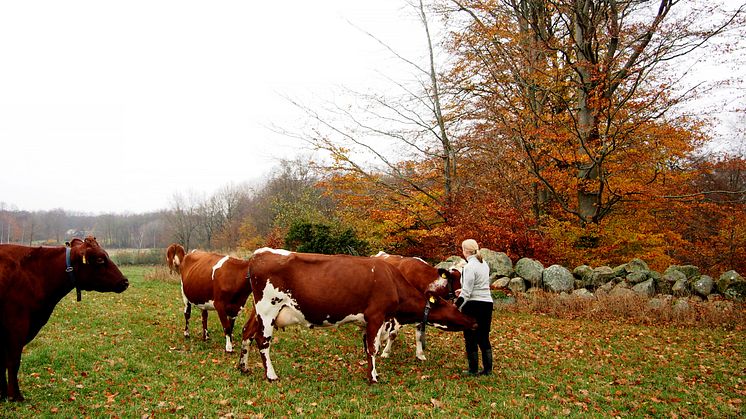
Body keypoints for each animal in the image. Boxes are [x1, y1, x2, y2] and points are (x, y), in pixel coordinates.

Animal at [0, 238, 129, 402]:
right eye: (100, 259)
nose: (125, 281)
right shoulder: (17, 325)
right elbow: (13, 361)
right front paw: (15, 396)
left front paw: (3, 394)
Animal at [235, 249, 474, 384]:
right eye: (454, 309)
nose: (474, 322)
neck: (393, 282)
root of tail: (258, 255)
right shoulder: (377, 316)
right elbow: (373, 348)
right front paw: (373, 377)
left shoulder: (369, 321)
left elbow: (368, 347)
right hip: (268, 309)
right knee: (262, 340)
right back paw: (271, 375)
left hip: (258, 311)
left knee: (247, 332)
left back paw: (243, 367)